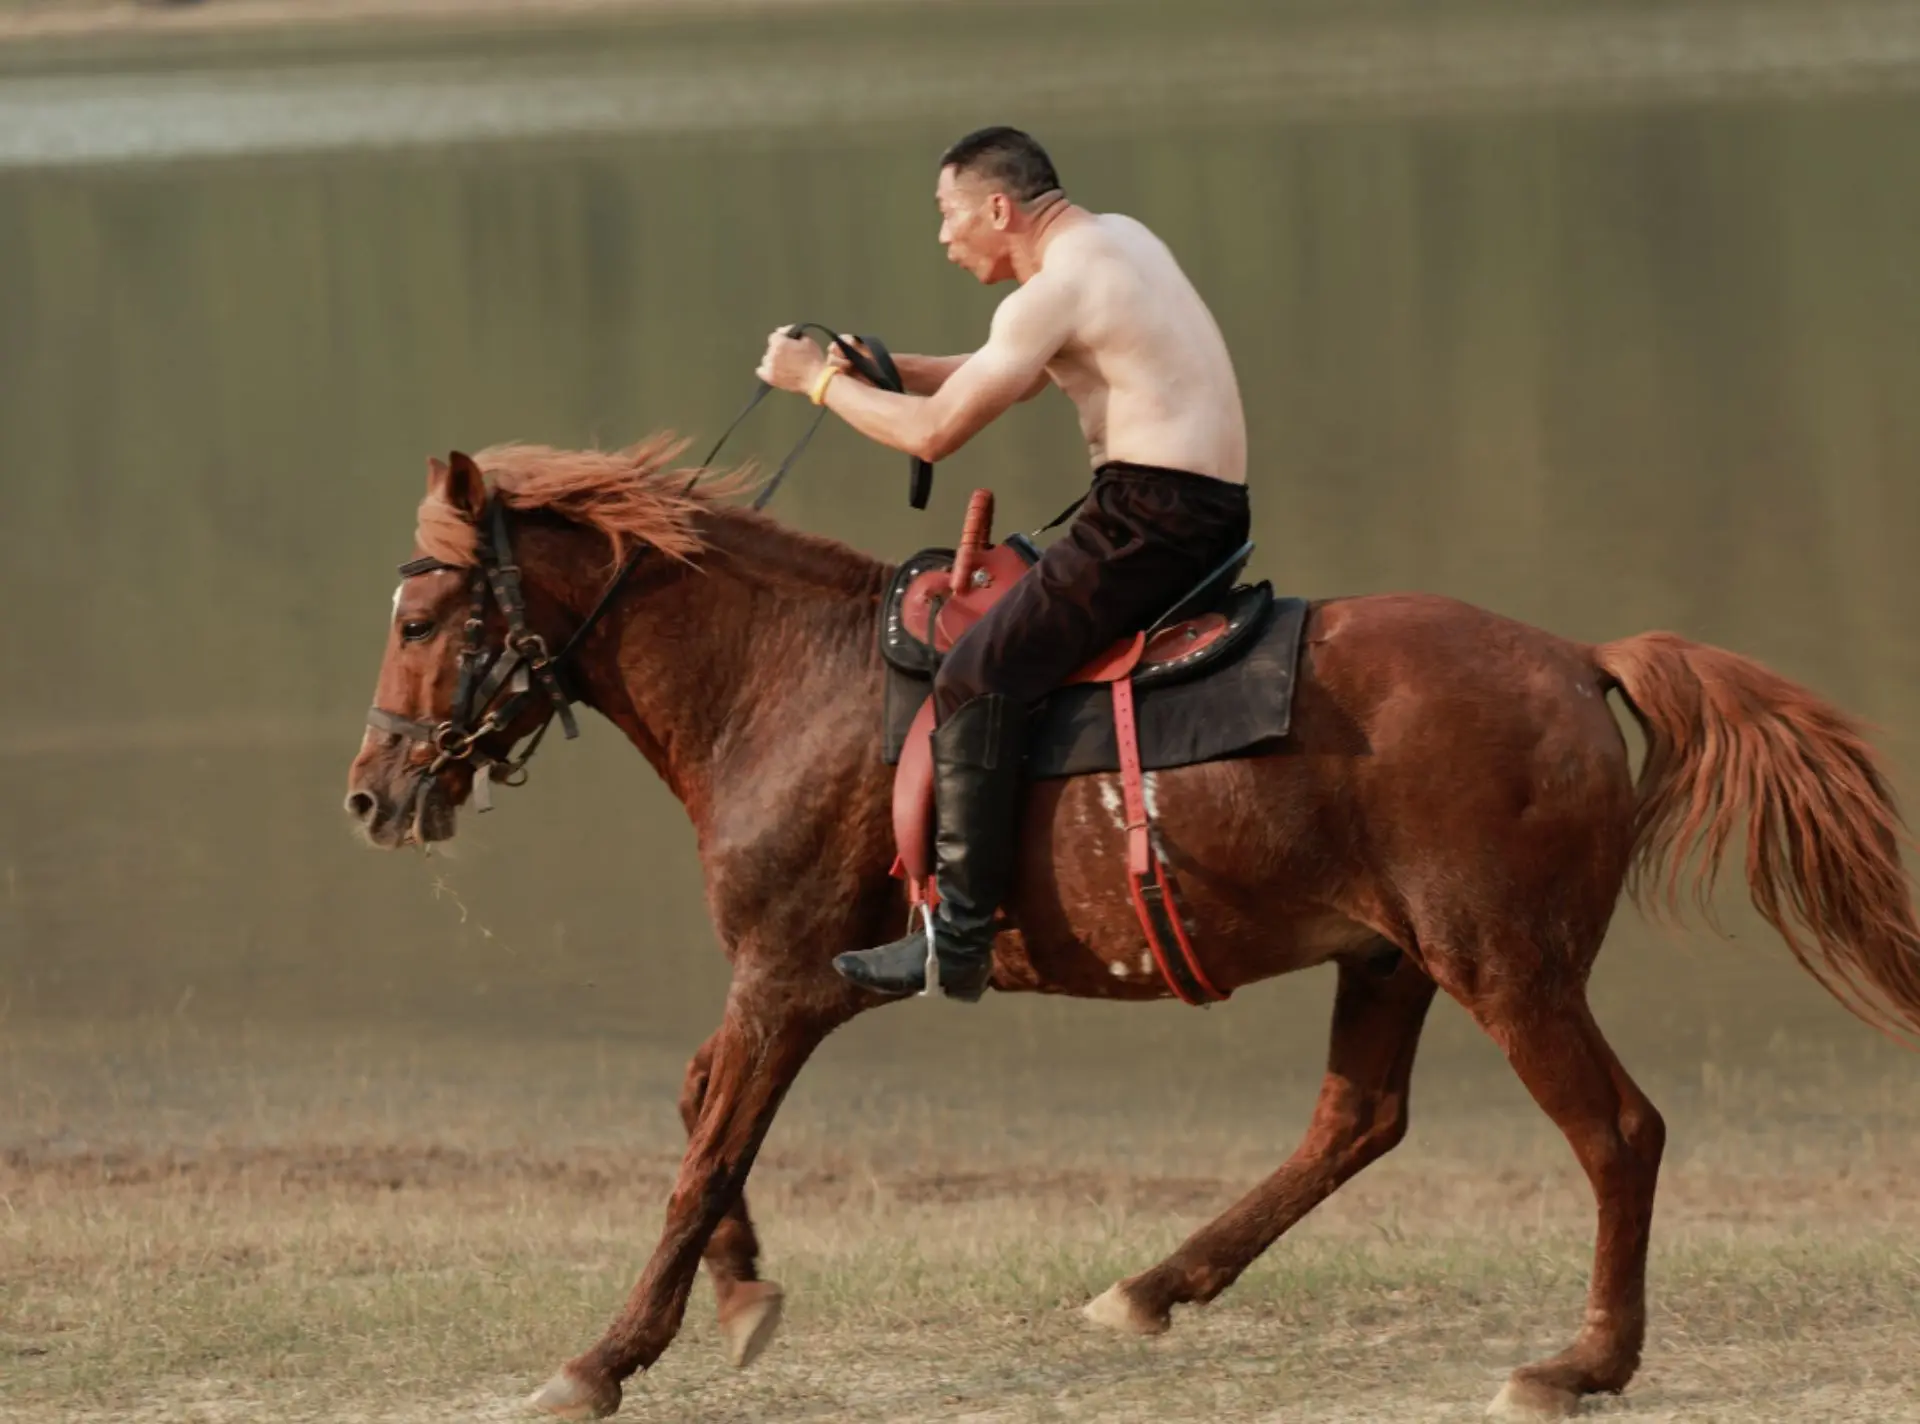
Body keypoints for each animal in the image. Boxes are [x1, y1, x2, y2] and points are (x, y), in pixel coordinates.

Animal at [341, 441, 1920, 1420]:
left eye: (419, 618)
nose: (370, 792)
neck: (784, 678)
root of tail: (1580, 659)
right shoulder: (788, 983)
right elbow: (698, 1115)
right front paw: (740, 1297)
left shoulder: (788, 976)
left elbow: (702, 1151)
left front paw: (605, 1357)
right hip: (1393, 958)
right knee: (1356, 1120)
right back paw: (1157, 1285)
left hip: (1507, 966)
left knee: (1616, 1132)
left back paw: (1580, 1363)